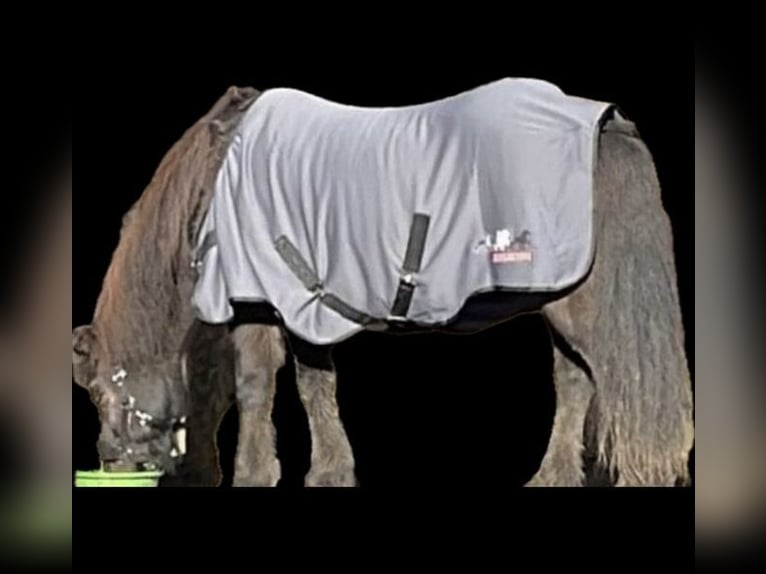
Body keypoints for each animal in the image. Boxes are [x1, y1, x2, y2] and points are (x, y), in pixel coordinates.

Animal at [72, 83, 694, 487]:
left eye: (99, 391)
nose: (111, 460)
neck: (219, 174)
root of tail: (603, 126)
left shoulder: (255, 301)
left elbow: (252, 385)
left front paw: (253, 473)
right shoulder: (305, 305)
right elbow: (315, 385)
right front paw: (330, 472)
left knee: (627, 389)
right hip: (558, 302)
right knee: (576, 386)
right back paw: (551, 477)